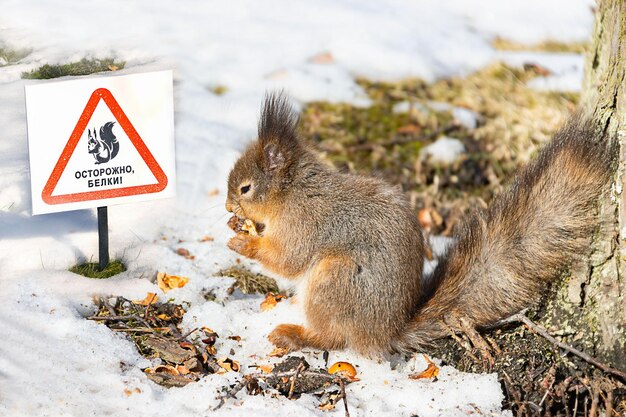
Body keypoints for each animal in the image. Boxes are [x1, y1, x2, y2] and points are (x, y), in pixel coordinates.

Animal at [225, 92, 616, 354]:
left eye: (245, 188)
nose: (228, 206)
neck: (293, 192)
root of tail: (385, 332)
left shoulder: (306, 224)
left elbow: (287, 259)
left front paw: (243, 242)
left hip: (335, 281)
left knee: (335, 338)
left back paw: (296, 334)